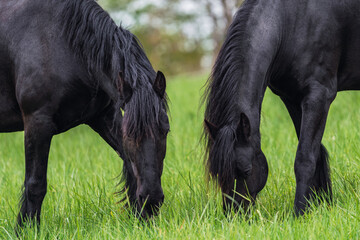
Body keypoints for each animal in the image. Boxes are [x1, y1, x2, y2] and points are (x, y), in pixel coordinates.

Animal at [0, 0, 169, 227]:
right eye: (131, 135)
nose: (151, 200)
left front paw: (140, 220)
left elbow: (129, 166)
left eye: (165, 130)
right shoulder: (38, 122)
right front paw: (26, 229)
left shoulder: (104, 117)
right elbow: (35, 184)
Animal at [204, 0, 358, 215]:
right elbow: (317, 152)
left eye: (246, 170)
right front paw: (323, 204)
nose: (233, 216)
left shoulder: (319, 96)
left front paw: (300, 213)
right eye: (218, 174)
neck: (292, 21)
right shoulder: (292, 98)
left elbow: (305, 158)